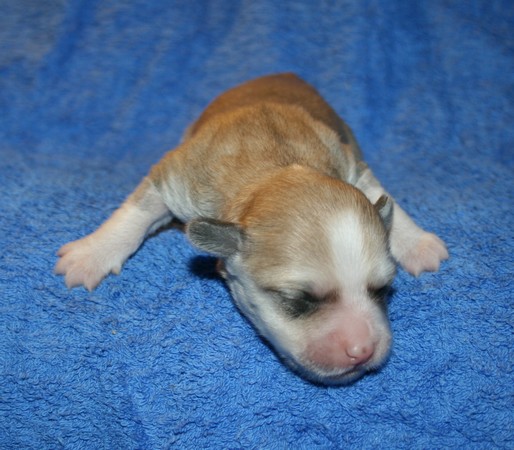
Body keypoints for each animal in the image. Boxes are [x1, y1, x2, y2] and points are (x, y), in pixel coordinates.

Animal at [55, 73, 448, 384]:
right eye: (297, 299)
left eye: (383, 289)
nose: (363, 350)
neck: (275, 171)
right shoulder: (176, 175)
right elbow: (137, 209)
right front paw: (90, 254)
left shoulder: (350, 162)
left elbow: (381, 192)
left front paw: (417, 243)